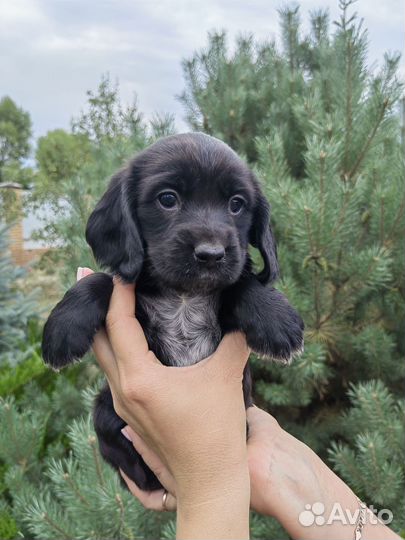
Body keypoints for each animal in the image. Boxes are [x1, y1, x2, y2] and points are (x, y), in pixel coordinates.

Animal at [43, 133, 304, 492]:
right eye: (168, 199)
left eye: (236, 204)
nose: (211, 254)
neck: (184, 296)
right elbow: (103, 280)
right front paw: (62, 329)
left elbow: (241, 282)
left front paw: (277, 319)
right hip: (104, 411)